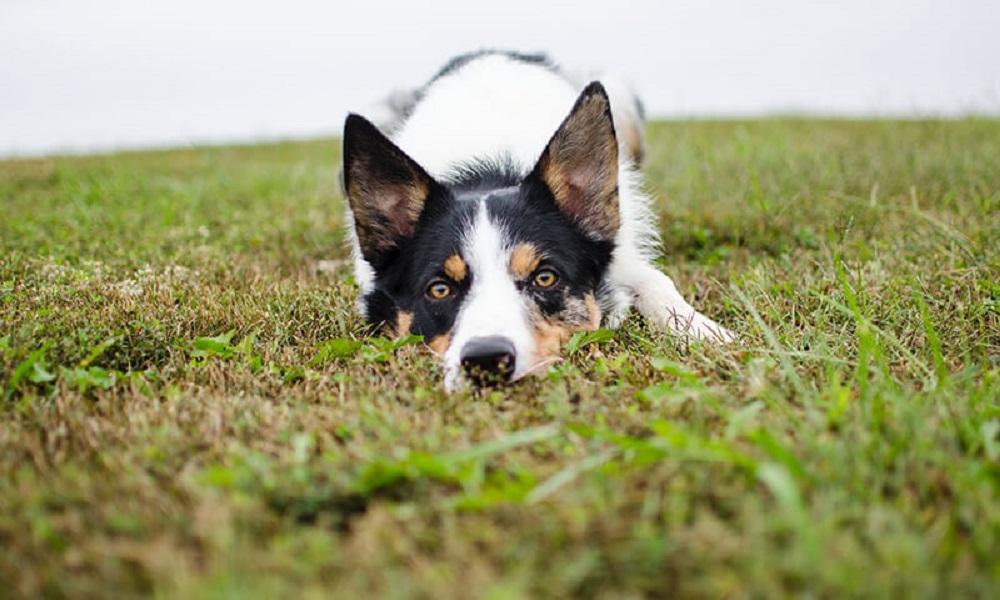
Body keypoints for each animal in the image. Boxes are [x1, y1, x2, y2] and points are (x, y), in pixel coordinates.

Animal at [344, 50, 736, 390]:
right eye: (439, 289)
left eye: (545, 278)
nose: (486, 360)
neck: (489, 171)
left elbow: (656, 281)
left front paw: (703, 331)